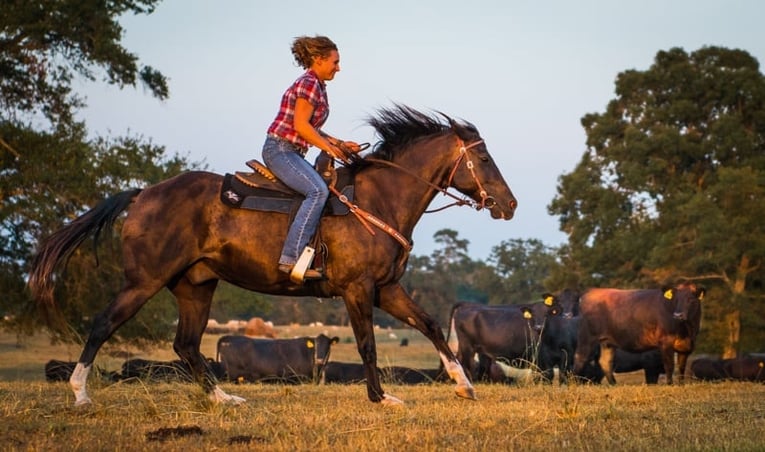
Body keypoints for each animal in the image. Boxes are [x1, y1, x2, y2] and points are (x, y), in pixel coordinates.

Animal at [31, 105, 520, 406]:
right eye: (486, 160)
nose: (510, 204)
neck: (379, 199)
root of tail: (144, 194)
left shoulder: (386, 289)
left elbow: (432, 324)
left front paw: (463, 385)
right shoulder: (358, 290)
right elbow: (367, 344)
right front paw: (383, 398)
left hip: (196, 285)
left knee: (186, 344)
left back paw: (224, 399)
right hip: (143, 281)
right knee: (103, 324)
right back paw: (80, 394)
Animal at [572, 282, 700, 384]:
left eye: (691, 300)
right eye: (676, 300)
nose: (678, 315)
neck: (687, 331)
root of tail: (592, 291)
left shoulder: (686, 346)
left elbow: (681, 367)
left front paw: (681, 384)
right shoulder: (665, 343)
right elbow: (669, 365)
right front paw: (670, 384)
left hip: (607, 342)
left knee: (605, 361)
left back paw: (614, 384)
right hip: (587, 337)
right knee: (580, 357)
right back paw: (574, 383)